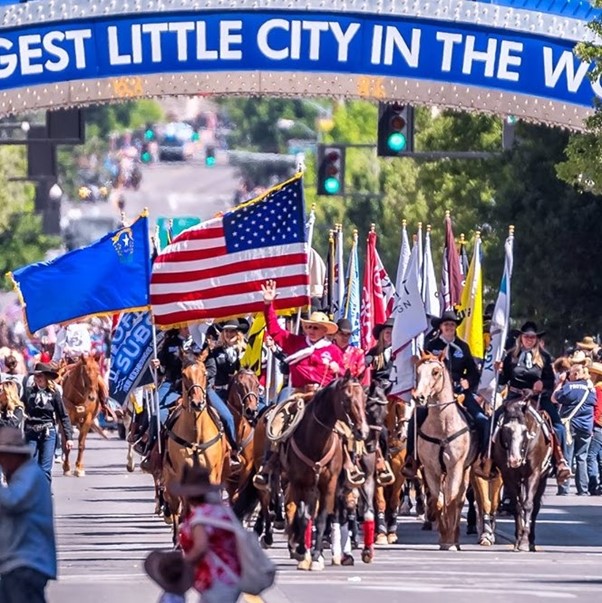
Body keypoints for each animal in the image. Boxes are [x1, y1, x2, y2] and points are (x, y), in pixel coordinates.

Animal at [161, 354, 226, 544]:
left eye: (204, 373)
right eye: (183, 375)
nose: (197, 403)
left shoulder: (212, 474)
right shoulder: (181, 476)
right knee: (176, 508)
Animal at [282, 376, 370, 572]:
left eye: (364, 399)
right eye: (346, 400)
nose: (363, 431)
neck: (314, 442)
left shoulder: (329, 483)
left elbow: (321, 519)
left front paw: (315, 557)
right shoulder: (299, 483)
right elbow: (303, 516)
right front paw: (302, 552)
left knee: (336, 515)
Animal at [410, 354, 476, 552]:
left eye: (435, 372)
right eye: (417, 371)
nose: (418, 397)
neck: (442, 426)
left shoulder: (455, 468)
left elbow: (452, 501)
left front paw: (451, 540)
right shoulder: (431, 469)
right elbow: (438, 501)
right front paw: (443, 538)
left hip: (465, 472)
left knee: (459, 500)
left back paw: (456, 538)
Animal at [490, 398, 552, 556]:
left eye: (524, 431)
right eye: (505, 429)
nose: (514, 460)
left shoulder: (533, 474)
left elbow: (528, 505)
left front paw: (524, 541)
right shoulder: (509, 475)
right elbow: (517, 506)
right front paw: (518, 540)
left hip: (542, 480)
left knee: (535, 507)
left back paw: (532, 542)